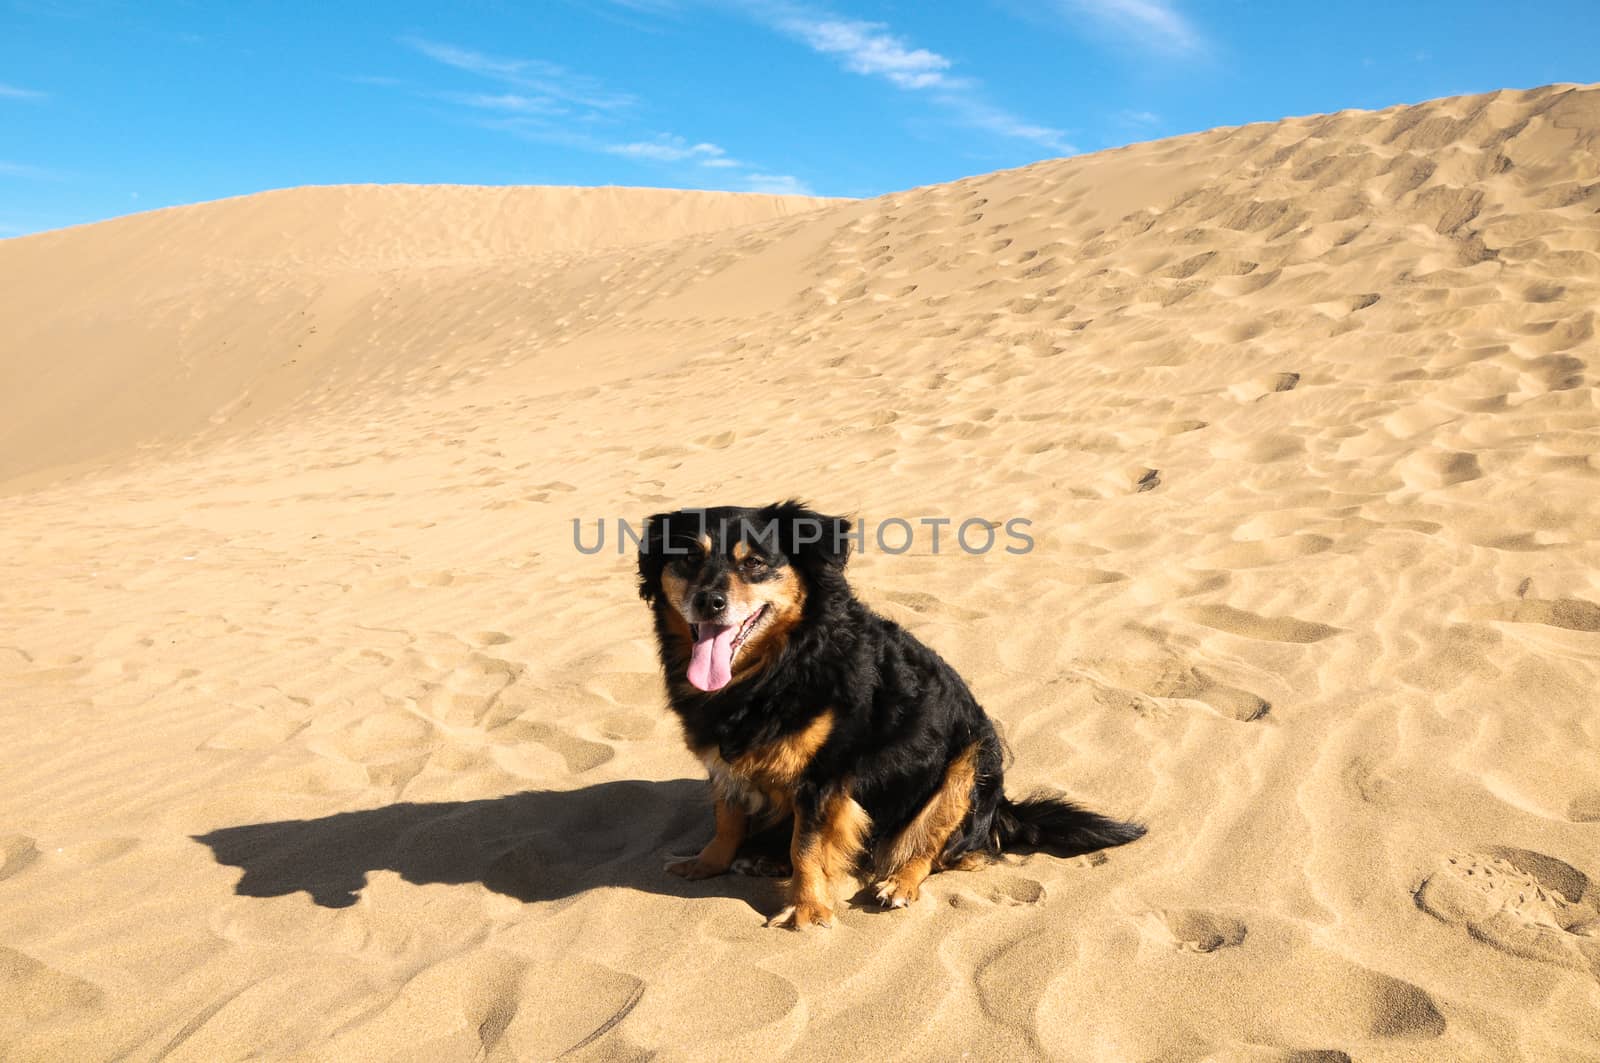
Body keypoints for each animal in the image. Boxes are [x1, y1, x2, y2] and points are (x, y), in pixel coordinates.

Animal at [630, 502, 1145, 928]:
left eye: (754, 563)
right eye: (687, 559)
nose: (708, 602)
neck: (780, 665)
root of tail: (1003, 811)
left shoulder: (825, 777)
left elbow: (807, 846)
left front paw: (808, 909)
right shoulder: (723, 760)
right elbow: (727, 818)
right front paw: (707, 863)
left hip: (971, 762)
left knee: (942, 850)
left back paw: (899, 882)